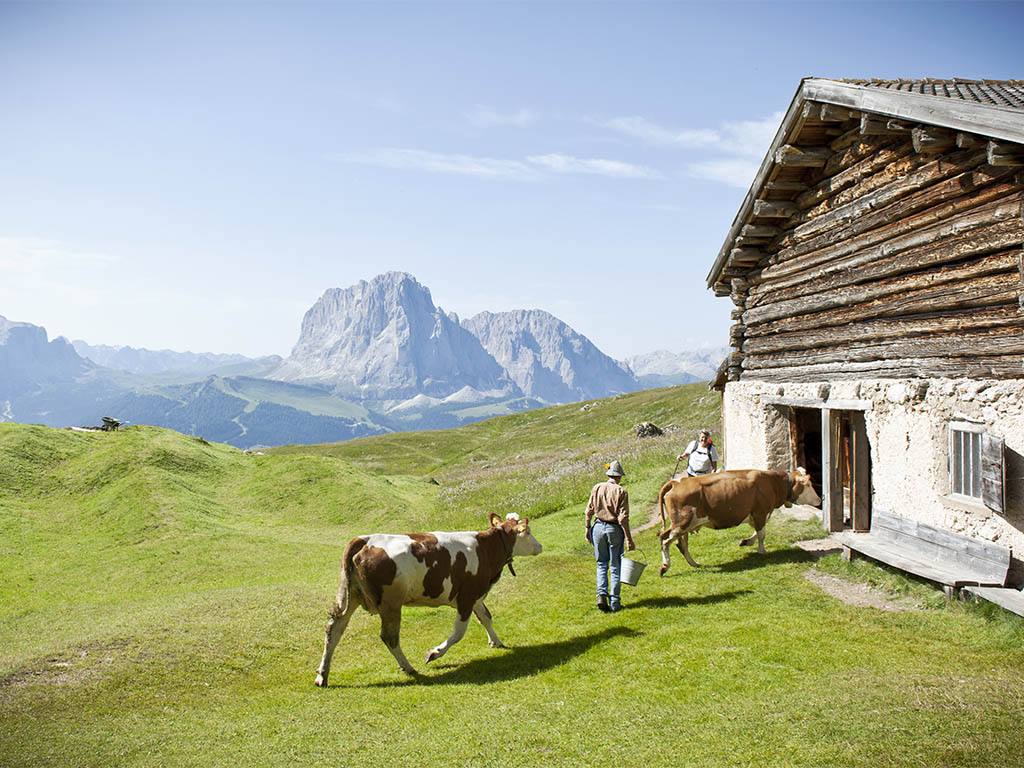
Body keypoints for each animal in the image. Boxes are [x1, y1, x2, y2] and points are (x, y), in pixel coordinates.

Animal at [313, 512, 544, 684]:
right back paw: (408, 667)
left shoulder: (476, 595)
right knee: (389, 637)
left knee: (333, 630)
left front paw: (496, 641)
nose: (540, 546)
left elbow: (486, 617)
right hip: (390, 604)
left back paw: (322, 675)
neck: (486, 550)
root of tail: (365, 539)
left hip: (349, 597)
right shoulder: (466, 597)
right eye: (528, 531)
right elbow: (458, 633)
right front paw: (435, 653)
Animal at [659, 468, 819, 577]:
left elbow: (757, 532)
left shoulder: (754, 514)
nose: (819, 499)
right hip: (682, 523)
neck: (772, 483)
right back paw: (665, 566)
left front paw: (746, 542)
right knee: (665, 539)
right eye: (809, 485)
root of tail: (676, 482)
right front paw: (762, 551)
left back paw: (694, 563)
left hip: (686, 526)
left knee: (681, 544)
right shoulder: (760, 512)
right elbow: (762, 534)